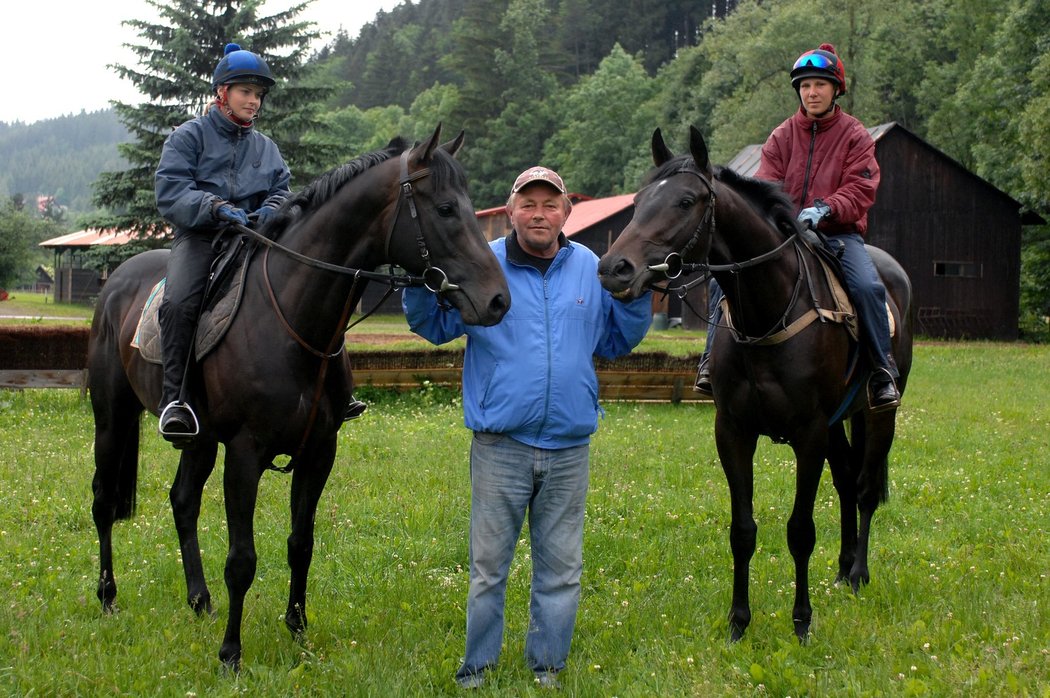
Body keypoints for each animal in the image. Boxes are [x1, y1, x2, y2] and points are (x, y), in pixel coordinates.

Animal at [88, 125, 510, 663]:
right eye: (446, 209)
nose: (498, 300)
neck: (291, 316)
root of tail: (116, 282)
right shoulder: (244, 453)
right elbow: (242, 560)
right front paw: (231, 653)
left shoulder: (318, 452)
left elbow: (301, 544)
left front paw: (298, 630)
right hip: (112, 418)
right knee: (104, 501)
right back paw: (107, 596)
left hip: (199, 440)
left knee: (182, 501)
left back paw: (199, 600)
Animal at [600, 126, 911, 642]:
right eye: (640, 200)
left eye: (685, 201)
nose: (613, 268)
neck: (771, 309)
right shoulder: (734, 432)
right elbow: (742, 531)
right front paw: (738, 623)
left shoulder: (808, 434)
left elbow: (800, 531)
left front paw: (801, 622)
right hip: (837, 426)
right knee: (847, 482)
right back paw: (843, 568)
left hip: (877, 413)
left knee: (865, 489)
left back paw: (858, 573)